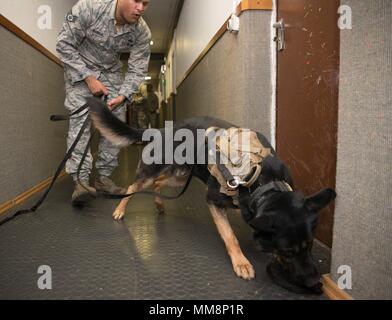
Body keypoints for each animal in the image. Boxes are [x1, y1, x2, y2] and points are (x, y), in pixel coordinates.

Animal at [87, 96, 336, 294]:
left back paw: (159, 204)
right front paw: (241, 263)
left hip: (179, 176)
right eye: (287, 251)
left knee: (158, 184)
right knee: (132, 188)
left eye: (310, 246)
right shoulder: (213, 201)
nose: (314, 282)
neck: (263, 182)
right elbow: (230, 236)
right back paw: (119, 210)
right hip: (150, 173)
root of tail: (162, 130)